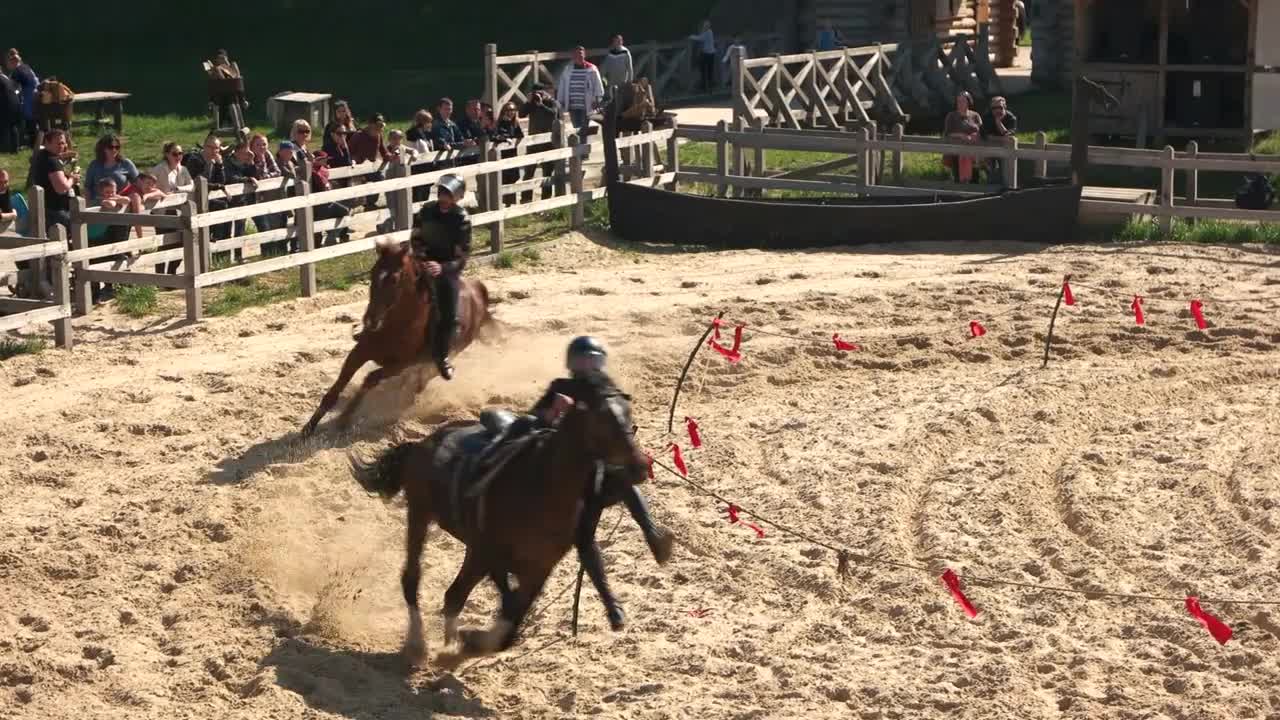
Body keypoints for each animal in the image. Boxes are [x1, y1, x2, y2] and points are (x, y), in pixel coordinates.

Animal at [303, 239, 494, 430]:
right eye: (372, 273)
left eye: (394, 279)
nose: (371, 320)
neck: (396, 326)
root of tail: (479, 293)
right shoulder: (359, 352)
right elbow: (335, 389)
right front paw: (309, 427)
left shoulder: (399, 365)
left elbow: (369, 380)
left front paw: (345, 418)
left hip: (441, 360)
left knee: (420, 382)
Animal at [350, 368, 650, 666]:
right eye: (602, 418)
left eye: (628, 413)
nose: (639, 467)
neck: (542, 486)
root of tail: (420, 444)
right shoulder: (485, 553)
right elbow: (473, 602)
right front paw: (463, 642)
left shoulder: (538, 568)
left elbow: (510, 621)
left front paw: (471, 641)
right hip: (421, 514)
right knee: (415, 580)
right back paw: (418, 643)